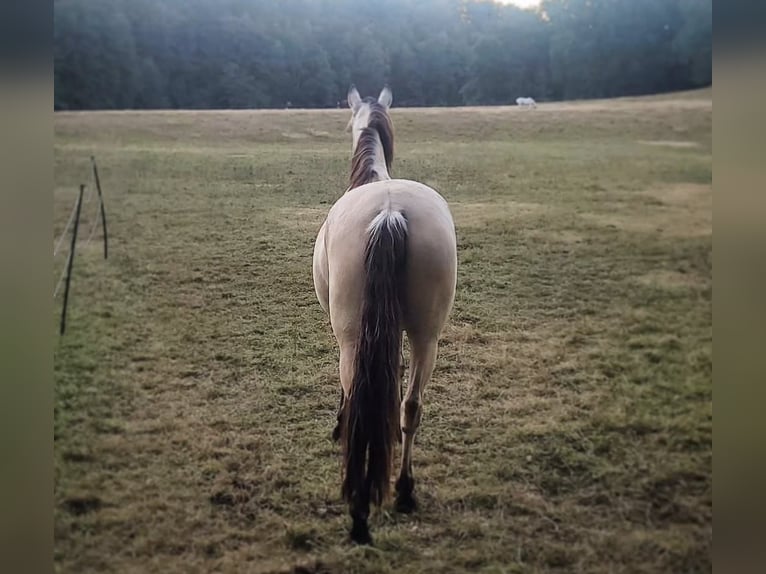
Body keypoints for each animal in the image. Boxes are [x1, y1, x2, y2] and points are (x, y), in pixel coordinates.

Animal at [312, 86, 457, 544]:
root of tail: (390, 212)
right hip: (427, 336)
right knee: (411, 405)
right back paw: (405, 490)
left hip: (352, 337)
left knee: (360, 399)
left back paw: (359, 513)